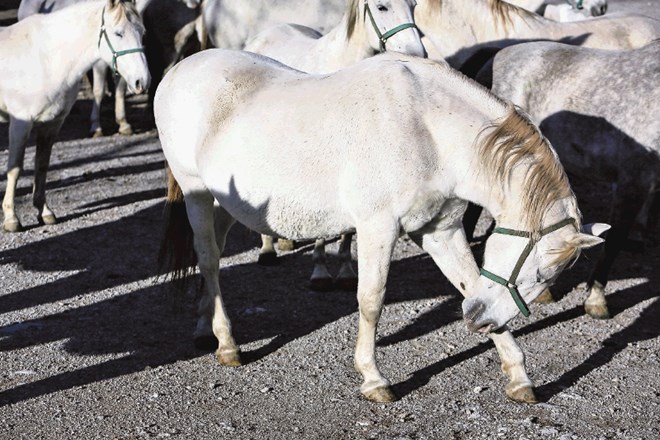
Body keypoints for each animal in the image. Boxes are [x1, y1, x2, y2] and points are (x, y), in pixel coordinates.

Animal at [0, 0, 150, 232]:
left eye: (142, 32)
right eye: (118, 33)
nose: (142, 82)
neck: (46, 58)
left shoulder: (52, 123)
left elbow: (42, 165)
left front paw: (44, 212)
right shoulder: (20, 124)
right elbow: (15, 168)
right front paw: (11, 218)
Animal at [155, 49, 608, 404]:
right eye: (540, 273)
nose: (480, 321)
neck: (429, 129)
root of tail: (176, 72)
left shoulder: (442, 231)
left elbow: (467, 282)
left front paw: (518, 375)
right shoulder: (378, 228)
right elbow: (371, 301)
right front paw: (373, 378)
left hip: (228, 203)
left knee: (210, 257)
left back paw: (204, 328)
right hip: (197, 193)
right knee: (209, 260)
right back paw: (227, 343)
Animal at [245, 0, 426, 290]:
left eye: (414, 5)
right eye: (382, 7)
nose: (416, 53)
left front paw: (345, 271)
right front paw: (319, 273)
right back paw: (267, 250)